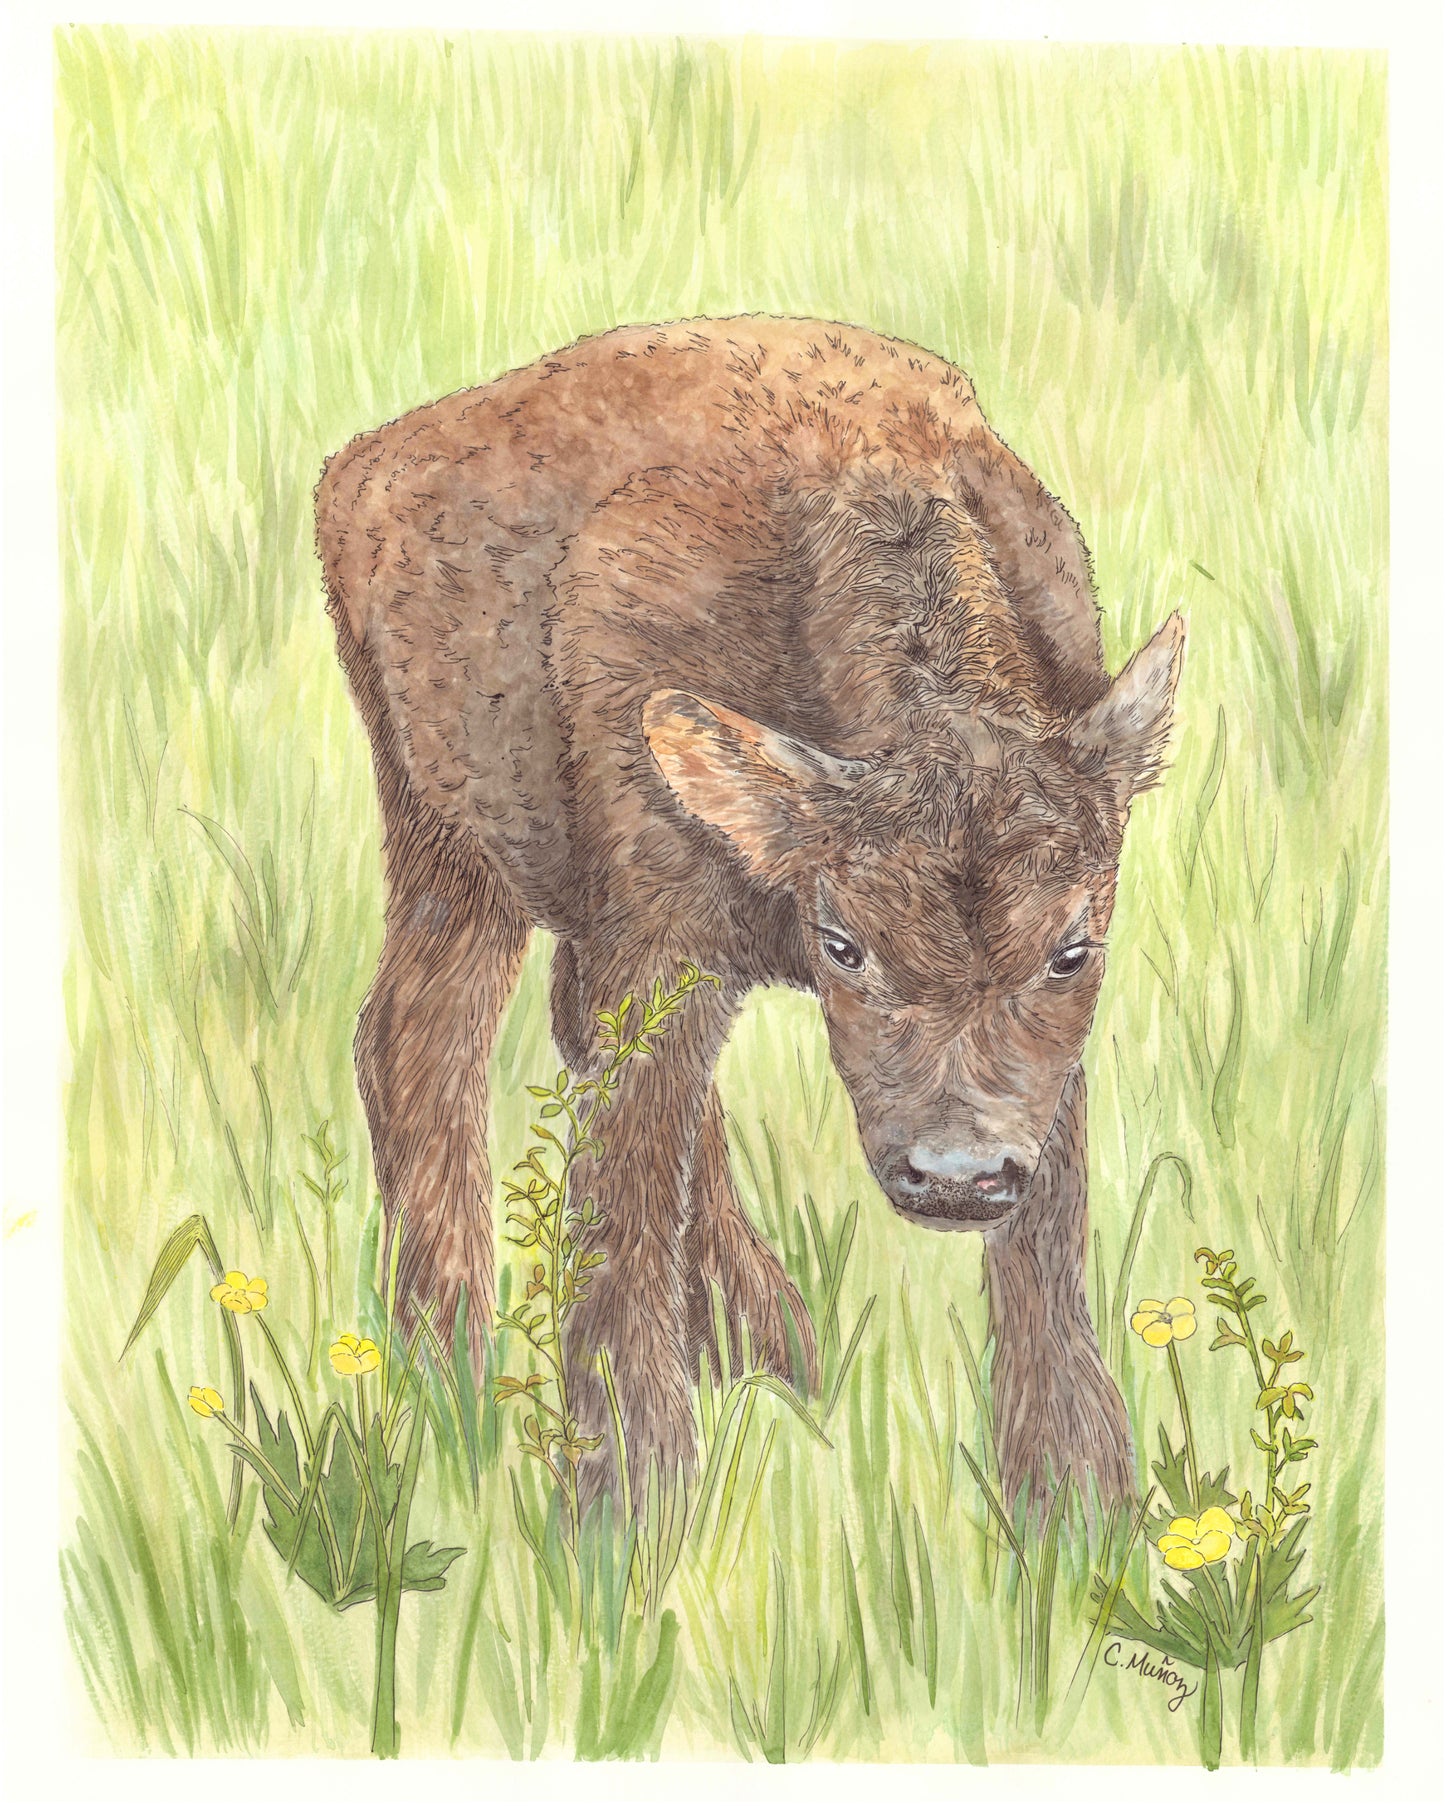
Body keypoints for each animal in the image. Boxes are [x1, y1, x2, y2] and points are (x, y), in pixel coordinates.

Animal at [316, 315, 1183, 1509]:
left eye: (1070, 949)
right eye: (844, 946)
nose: (954, 1175)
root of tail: (364, 465)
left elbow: (1046, 1225)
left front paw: (1072, 1499)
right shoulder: (657, 957)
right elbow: (623, 1194)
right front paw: (624, 1511)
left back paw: (767, 1351)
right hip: (447, 847)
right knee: (418, 1043)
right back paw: (447, 1369)